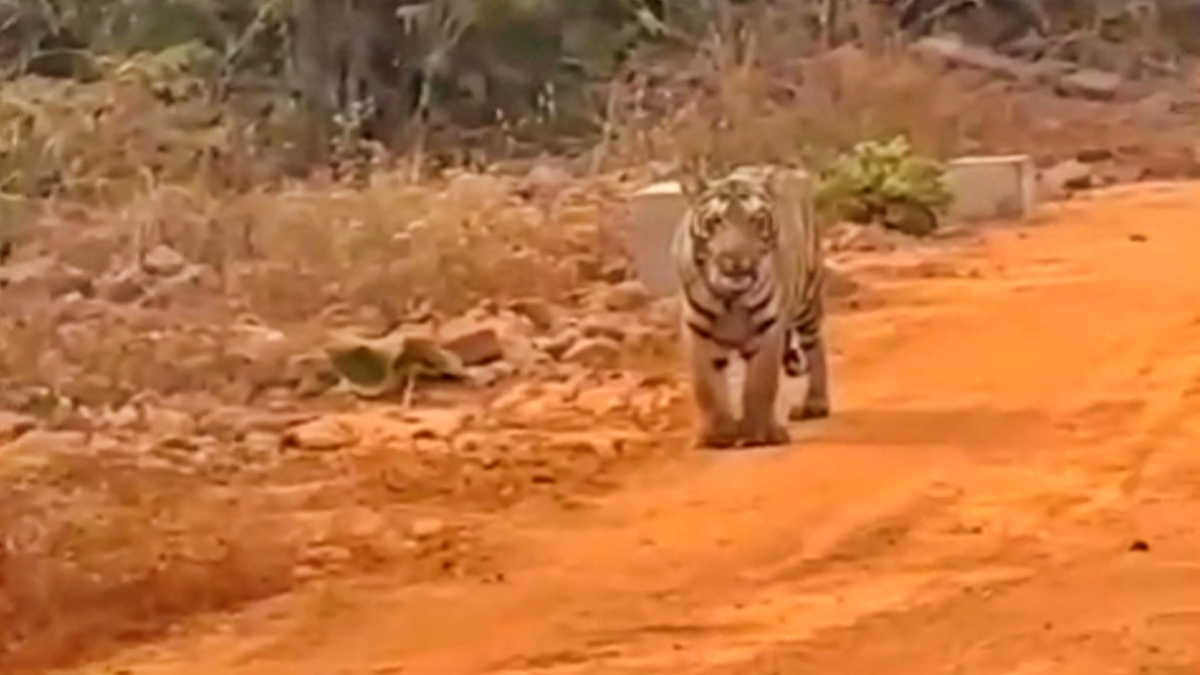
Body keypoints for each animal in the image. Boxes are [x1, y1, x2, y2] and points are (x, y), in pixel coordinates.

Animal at [671, 164, 830, 449]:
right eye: (716, 222)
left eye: (755, 221)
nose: (738, 262)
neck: (730, 297)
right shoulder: (697, 330)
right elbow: (706, 386)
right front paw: (717, 435)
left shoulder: (768, 328)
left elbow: (759, 384)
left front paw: (758, 434)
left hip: (807, 299)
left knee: (815, 349)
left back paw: (815, 403)